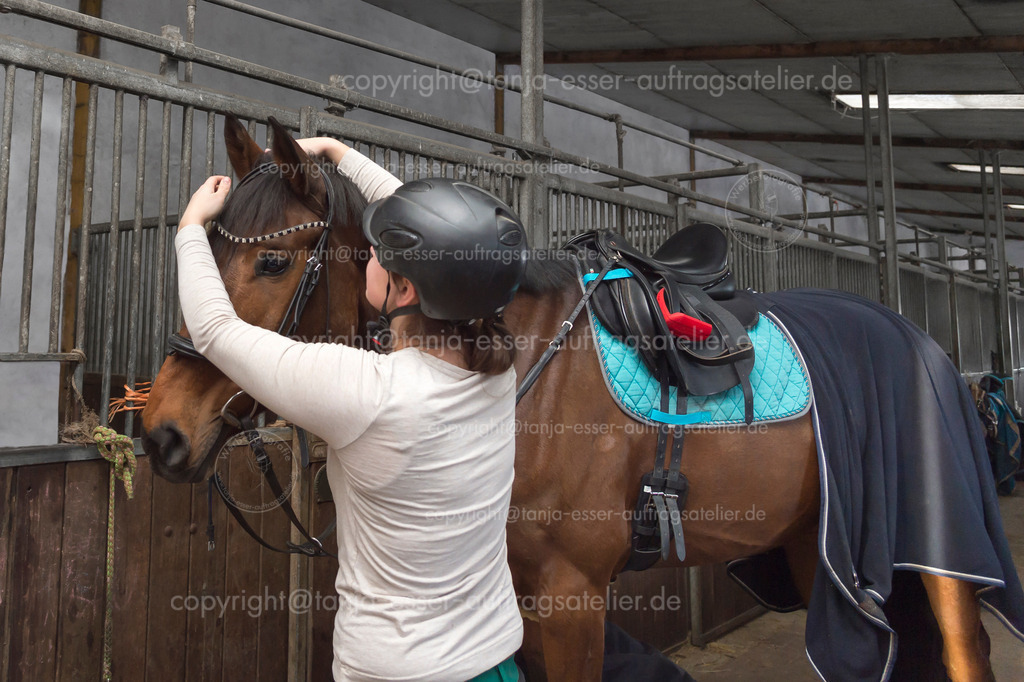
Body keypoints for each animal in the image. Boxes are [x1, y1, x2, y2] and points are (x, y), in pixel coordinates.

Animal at [142, 115, 1007, 681]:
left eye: (273, 262)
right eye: (207, 247)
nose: (159, 433)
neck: (515, 374)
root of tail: (926, 346)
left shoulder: (571, 599)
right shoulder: (516, 604)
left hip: (937, 562)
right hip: (816, 548)